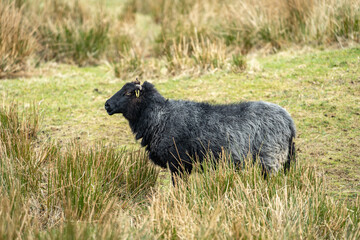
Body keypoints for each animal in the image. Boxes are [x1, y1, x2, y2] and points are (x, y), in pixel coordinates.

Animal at [104, 79, 296, 183]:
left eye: (128, 93)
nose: (107, 105)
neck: (159, 116)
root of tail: (288, 120)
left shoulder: (178, 163)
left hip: (270, 159)